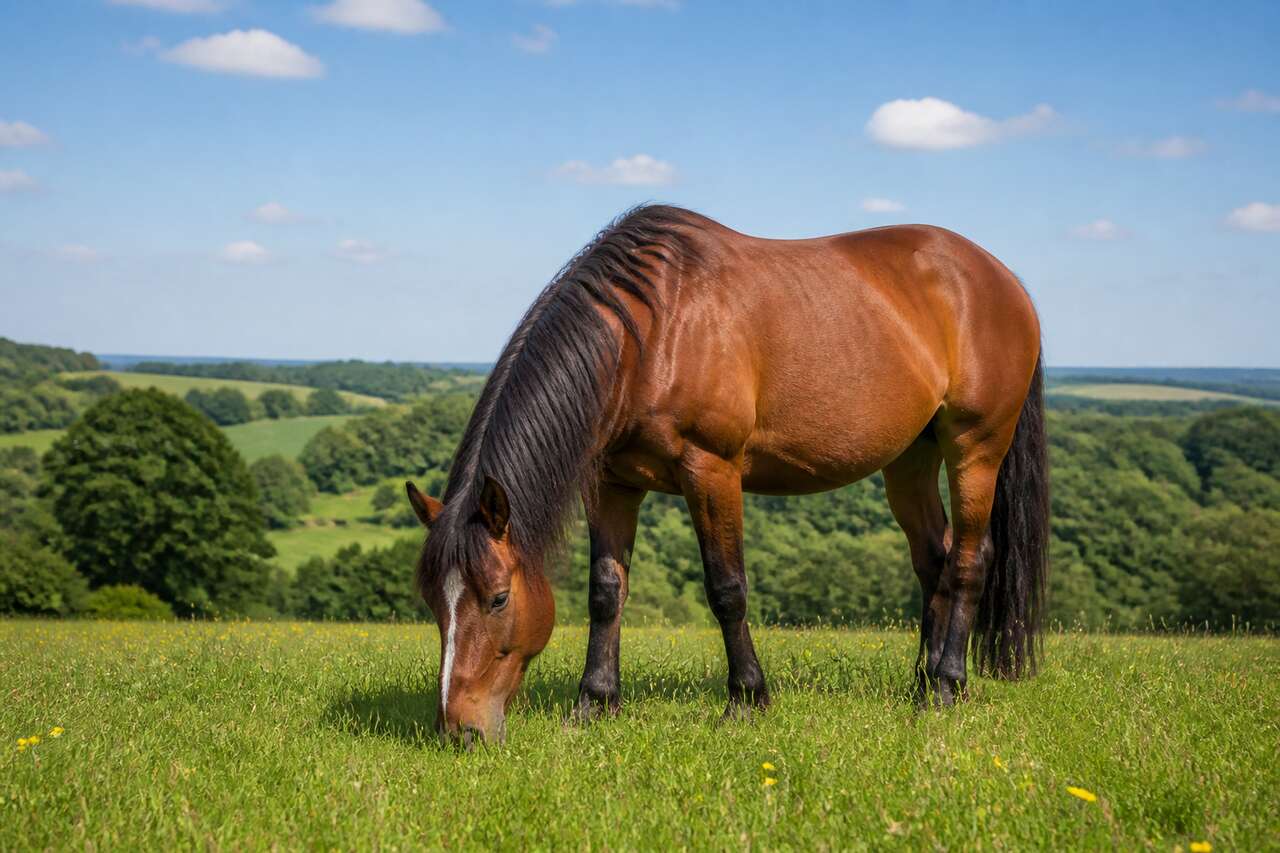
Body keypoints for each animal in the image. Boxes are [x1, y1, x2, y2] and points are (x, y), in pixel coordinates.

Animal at [405, 204, 1049, 745]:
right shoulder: (612, 484)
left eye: (497, 598)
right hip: (911, 458)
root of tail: (1003, 279)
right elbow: (606, 592)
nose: (459, 732)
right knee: (933, 561)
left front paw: (747, 700)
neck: (652, 331)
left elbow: (726, 588)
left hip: (975, 448)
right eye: (433, 601)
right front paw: (594, 703)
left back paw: (946, 686)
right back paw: (919, 681)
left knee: (968, 561)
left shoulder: (710, 470)